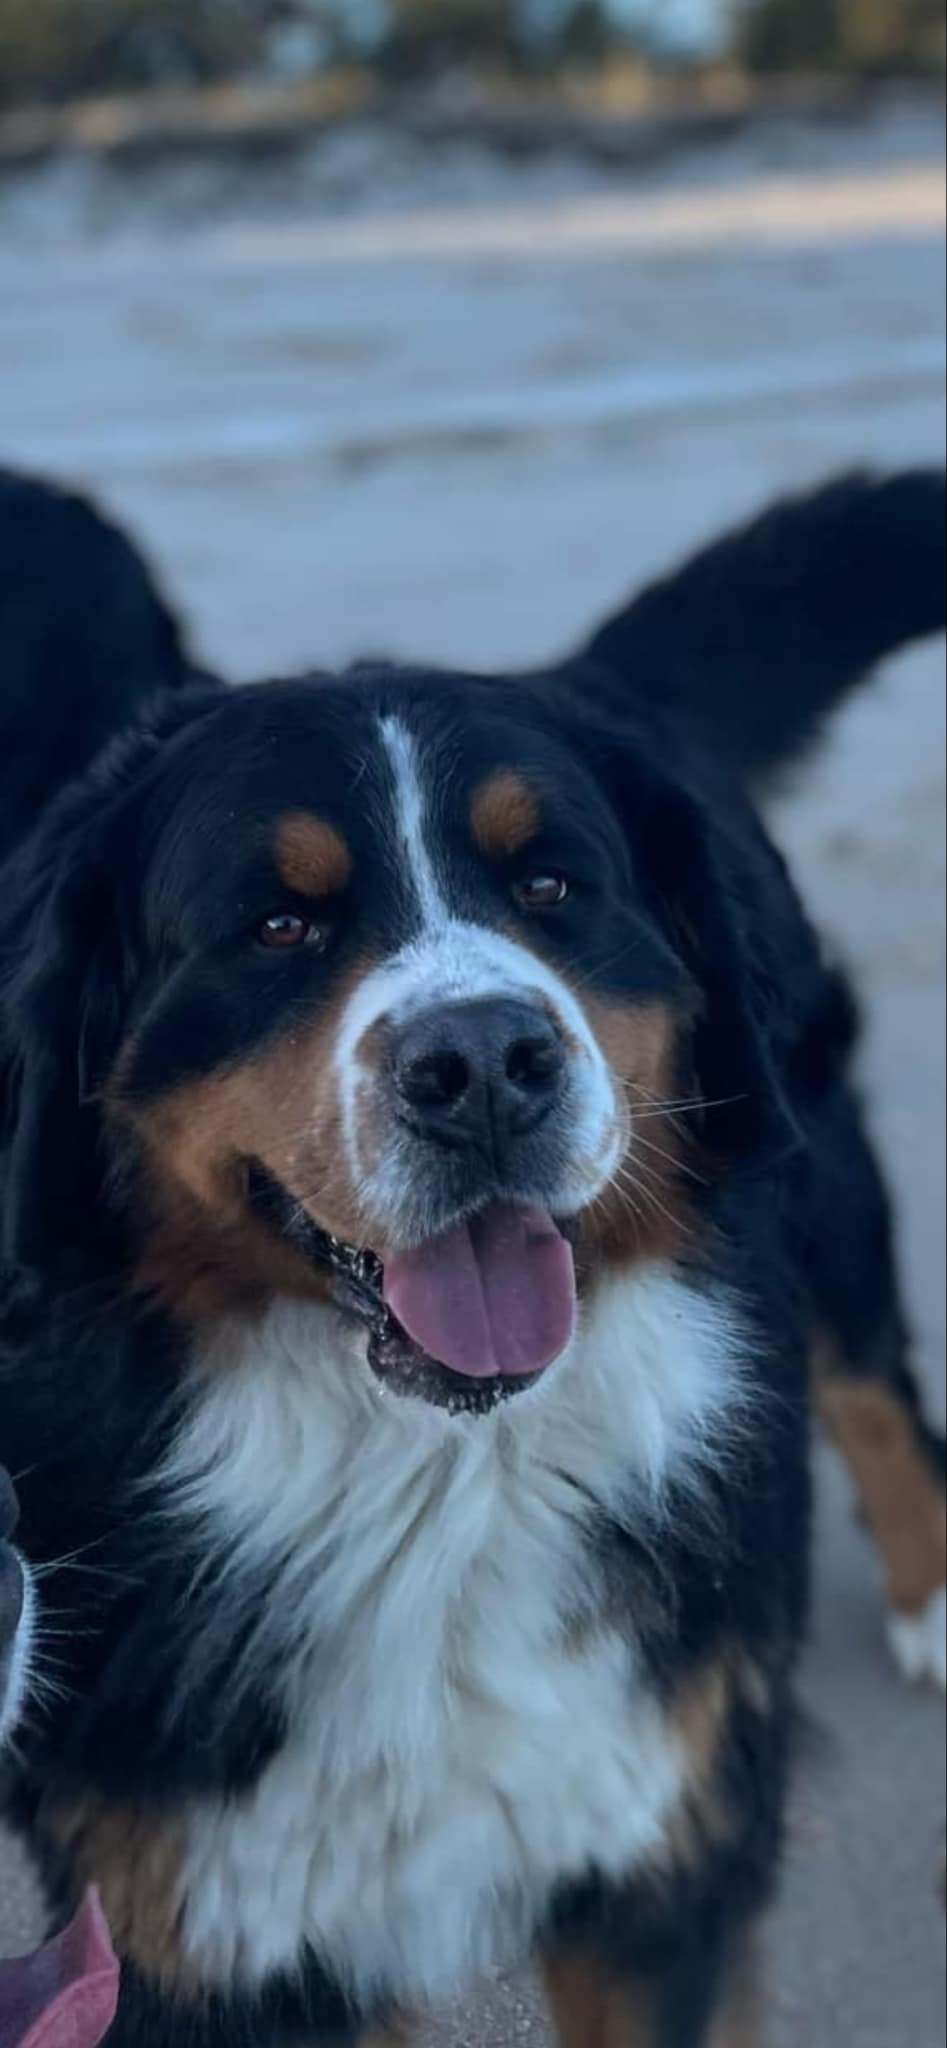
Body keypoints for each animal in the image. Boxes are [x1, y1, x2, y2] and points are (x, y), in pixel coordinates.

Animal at [0, 466, 944, 2047]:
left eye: (550, 885)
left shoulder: (652, 1856)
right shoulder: (210, 1932)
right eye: (277, 922)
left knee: (872, 1377)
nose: (485, 1065)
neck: (428, 1483)